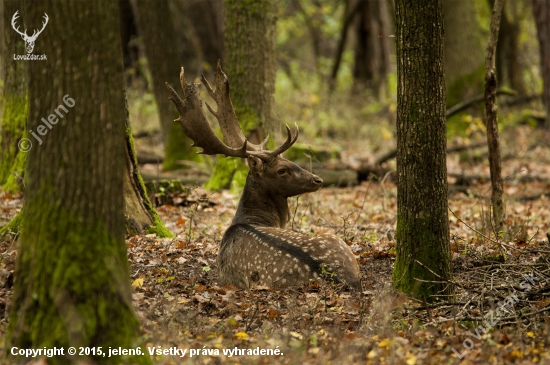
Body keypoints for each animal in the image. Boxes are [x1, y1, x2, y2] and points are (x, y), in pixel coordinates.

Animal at [165, 61, 362, 290]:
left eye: (290, 161)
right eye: (282, 170)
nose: (318, 179)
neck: (252, 219)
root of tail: (339, 277)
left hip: (334, 239)